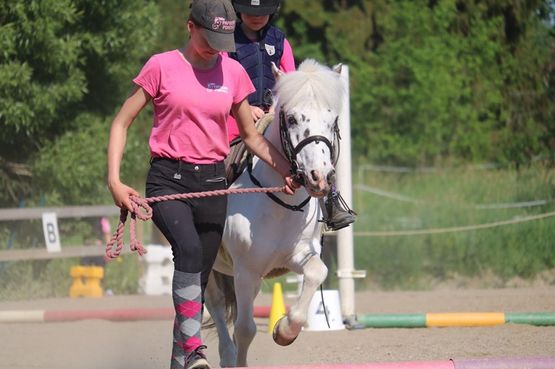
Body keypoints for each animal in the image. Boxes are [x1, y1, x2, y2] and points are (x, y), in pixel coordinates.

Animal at [205, 59, 344, 366]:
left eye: (333, 122)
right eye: (291, 119)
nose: (320, 177)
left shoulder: (300, 254)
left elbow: (317, 273)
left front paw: (284, 330)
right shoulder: (246, 271)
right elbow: (245, 329)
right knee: (215, 304)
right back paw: (225, 355)